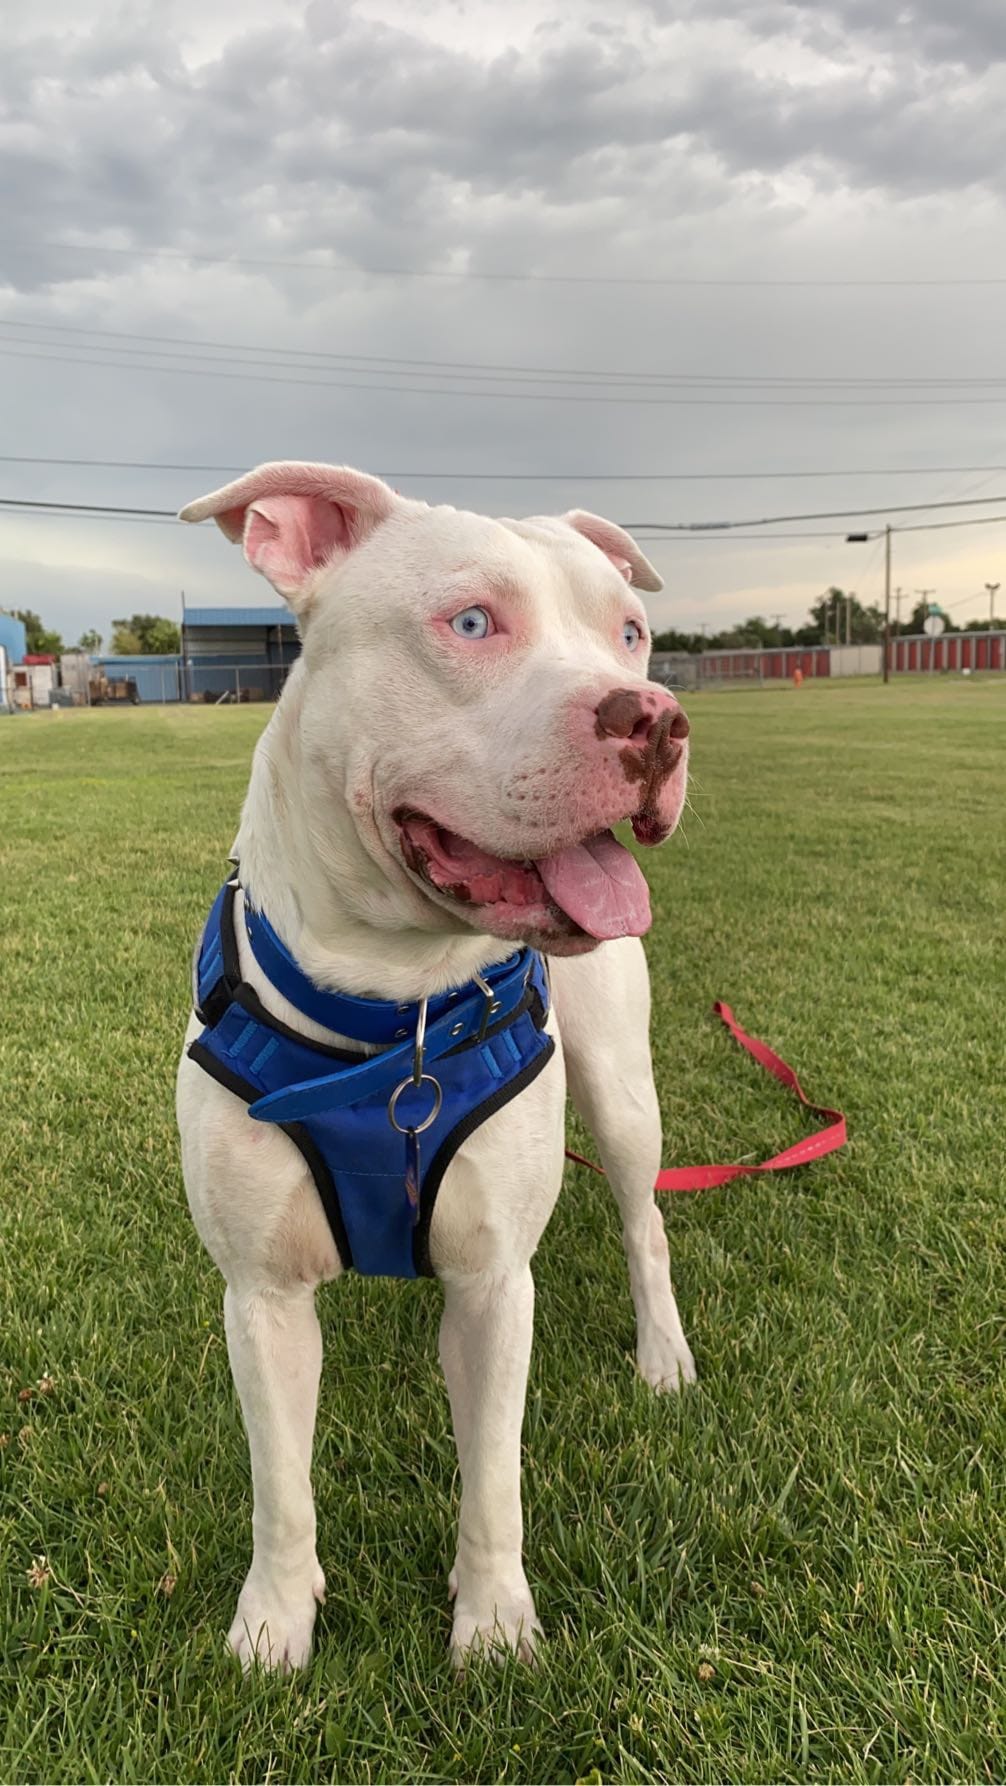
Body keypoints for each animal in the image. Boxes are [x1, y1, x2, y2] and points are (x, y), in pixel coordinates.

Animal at [175, 464, 693, 1671]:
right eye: (470, 623)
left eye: (631, 632)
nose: (653, 717)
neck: (392, 1010)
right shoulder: (260, 1296)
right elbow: (281, 1488)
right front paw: (273, 1625)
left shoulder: (498, 1285)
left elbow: (492, 1476)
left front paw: (493, 1624)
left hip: (620, 1090)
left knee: (643, 1217)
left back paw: (662, 1354)